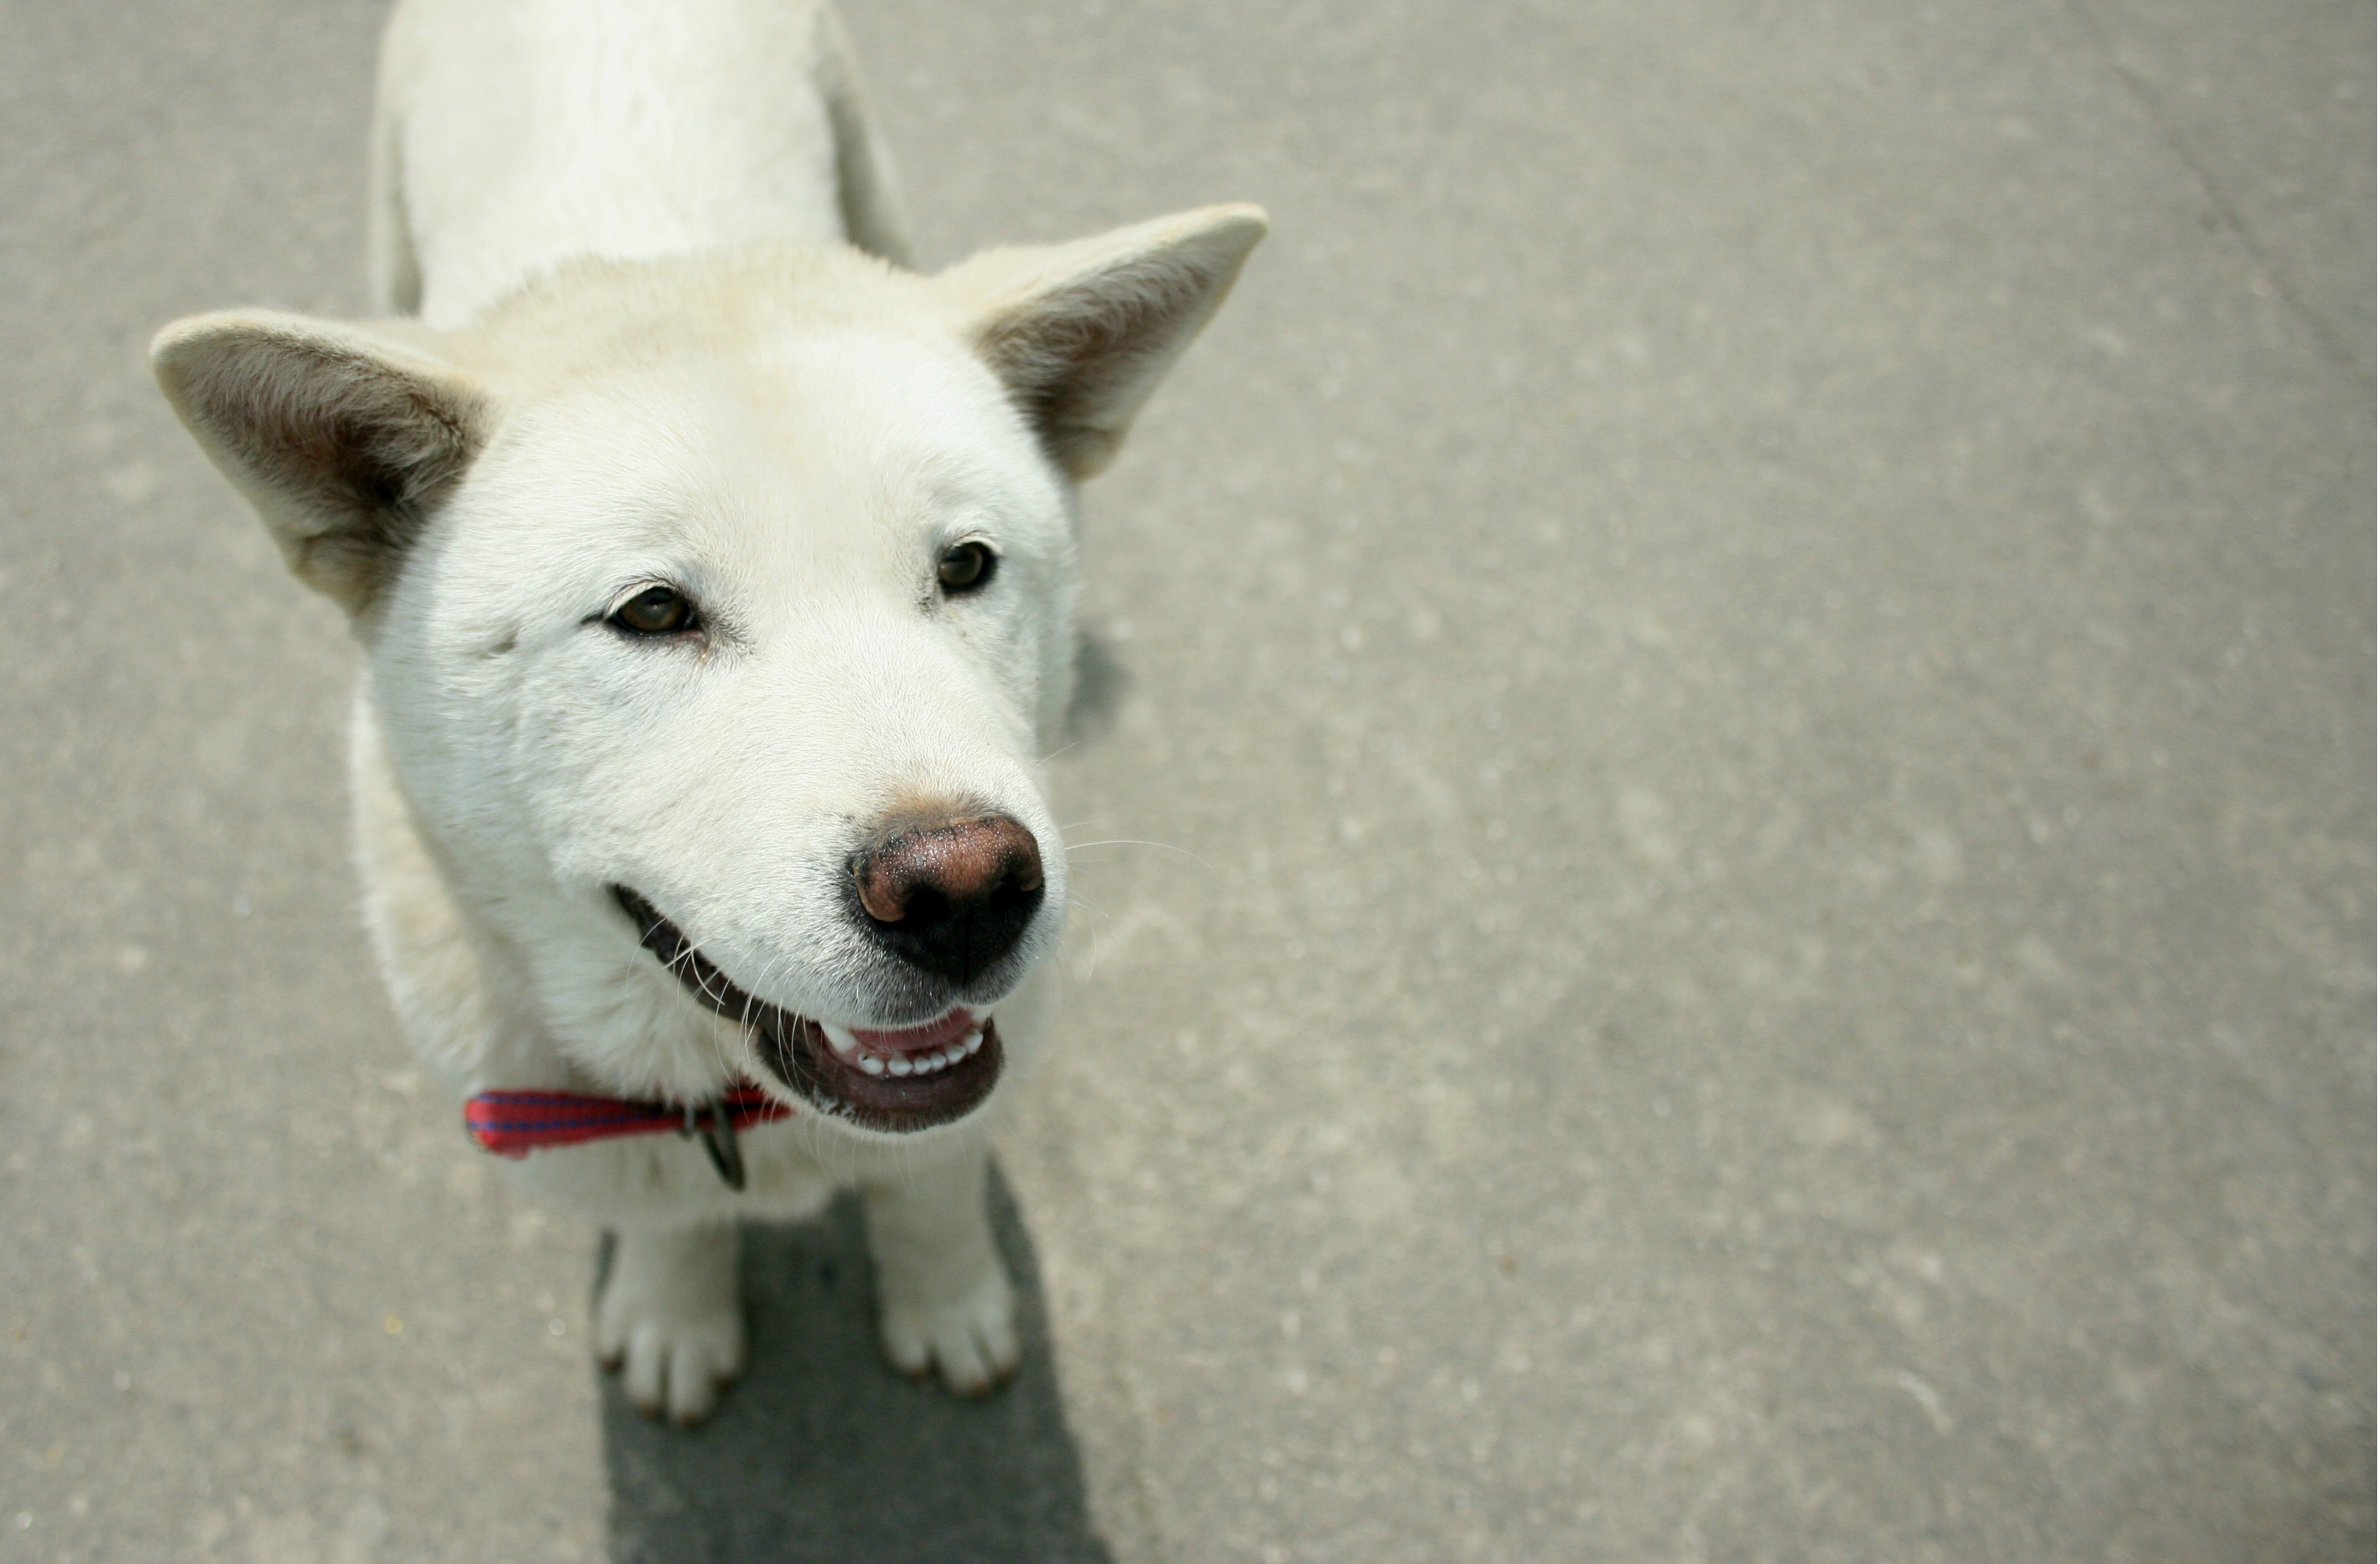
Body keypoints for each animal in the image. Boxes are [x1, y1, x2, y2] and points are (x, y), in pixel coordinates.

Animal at [148, 0, 1266, 1419]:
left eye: (965, 567)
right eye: (652, 614)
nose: (964, 890)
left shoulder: (964, 1091)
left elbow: (934, 1180)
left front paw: (947, 1297)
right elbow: (677, 1225)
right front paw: (675, 1310)